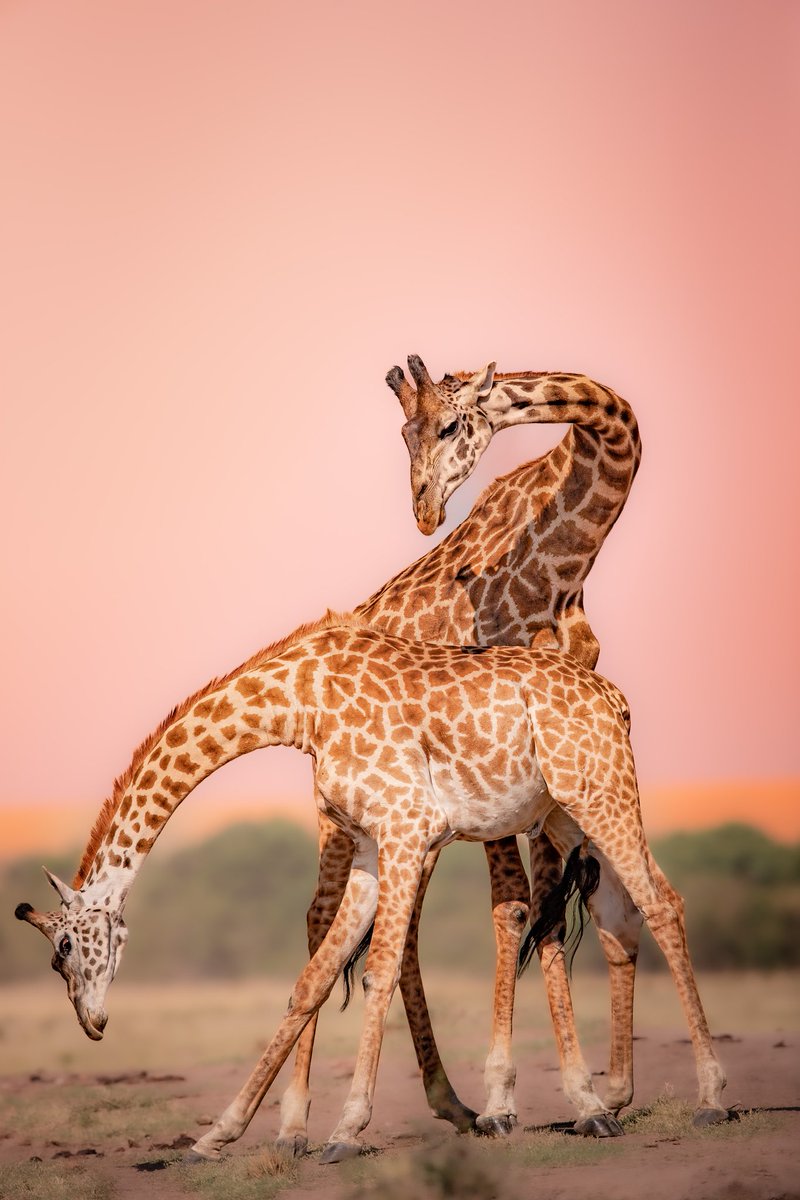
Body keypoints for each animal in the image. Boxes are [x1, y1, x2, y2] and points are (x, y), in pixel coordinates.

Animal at [15, 616, 728, 1164]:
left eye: (64, 952)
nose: (93, 1023)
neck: (302, 703)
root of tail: (616, 700)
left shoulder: (408, 824)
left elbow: (380, 969)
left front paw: (345, 1131)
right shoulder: (366, 845)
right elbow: (314, 977)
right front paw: (218, 1136)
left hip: (604, 792)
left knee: (664, 905)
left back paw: (711, 1099)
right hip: (567, 813)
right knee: (620, 919)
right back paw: (606, 1104)